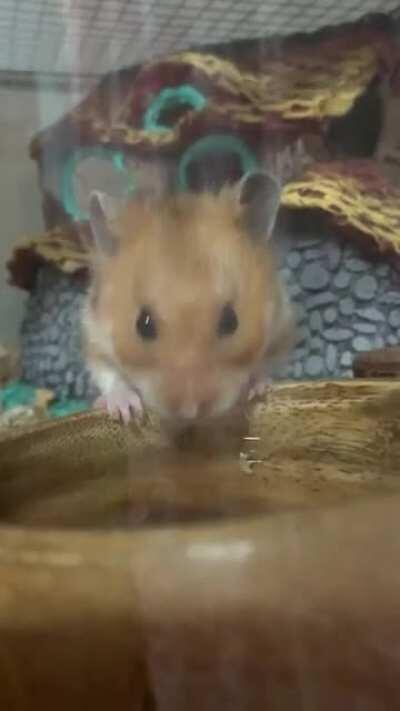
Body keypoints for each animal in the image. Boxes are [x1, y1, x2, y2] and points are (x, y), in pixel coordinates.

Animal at [82, 171, 294, 426]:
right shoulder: (95, 338)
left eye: (231, 321)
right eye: (143, 324)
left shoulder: (281, 327)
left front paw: (258, 388)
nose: (190, 412)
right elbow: (109, 374)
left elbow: (265, 365)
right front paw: (127, 412)